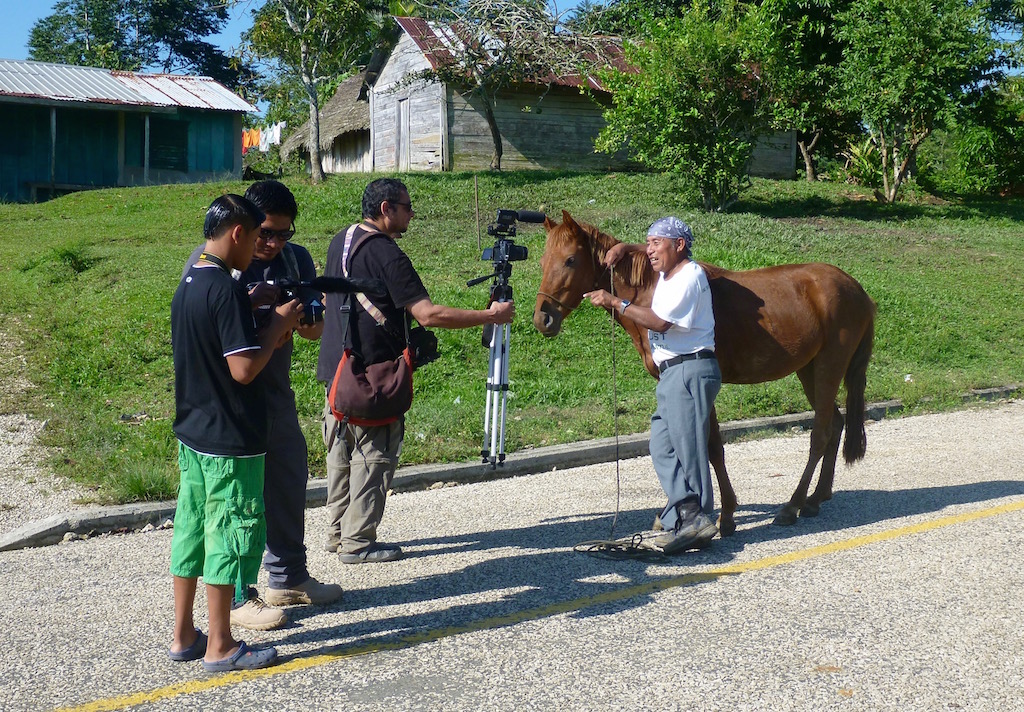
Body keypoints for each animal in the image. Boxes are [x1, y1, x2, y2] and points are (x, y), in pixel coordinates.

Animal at [532, 210, 876, 532]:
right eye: (542, 261)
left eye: (570, 260)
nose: (542, 318)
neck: (653, 291)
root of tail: (857, 289)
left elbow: (711, 447)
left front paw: (726, 515)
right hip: (809, 370)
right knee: (835, 423)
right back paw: (816, 498)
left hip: (829, 367)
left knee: (820, 433)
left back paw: (793, 505)